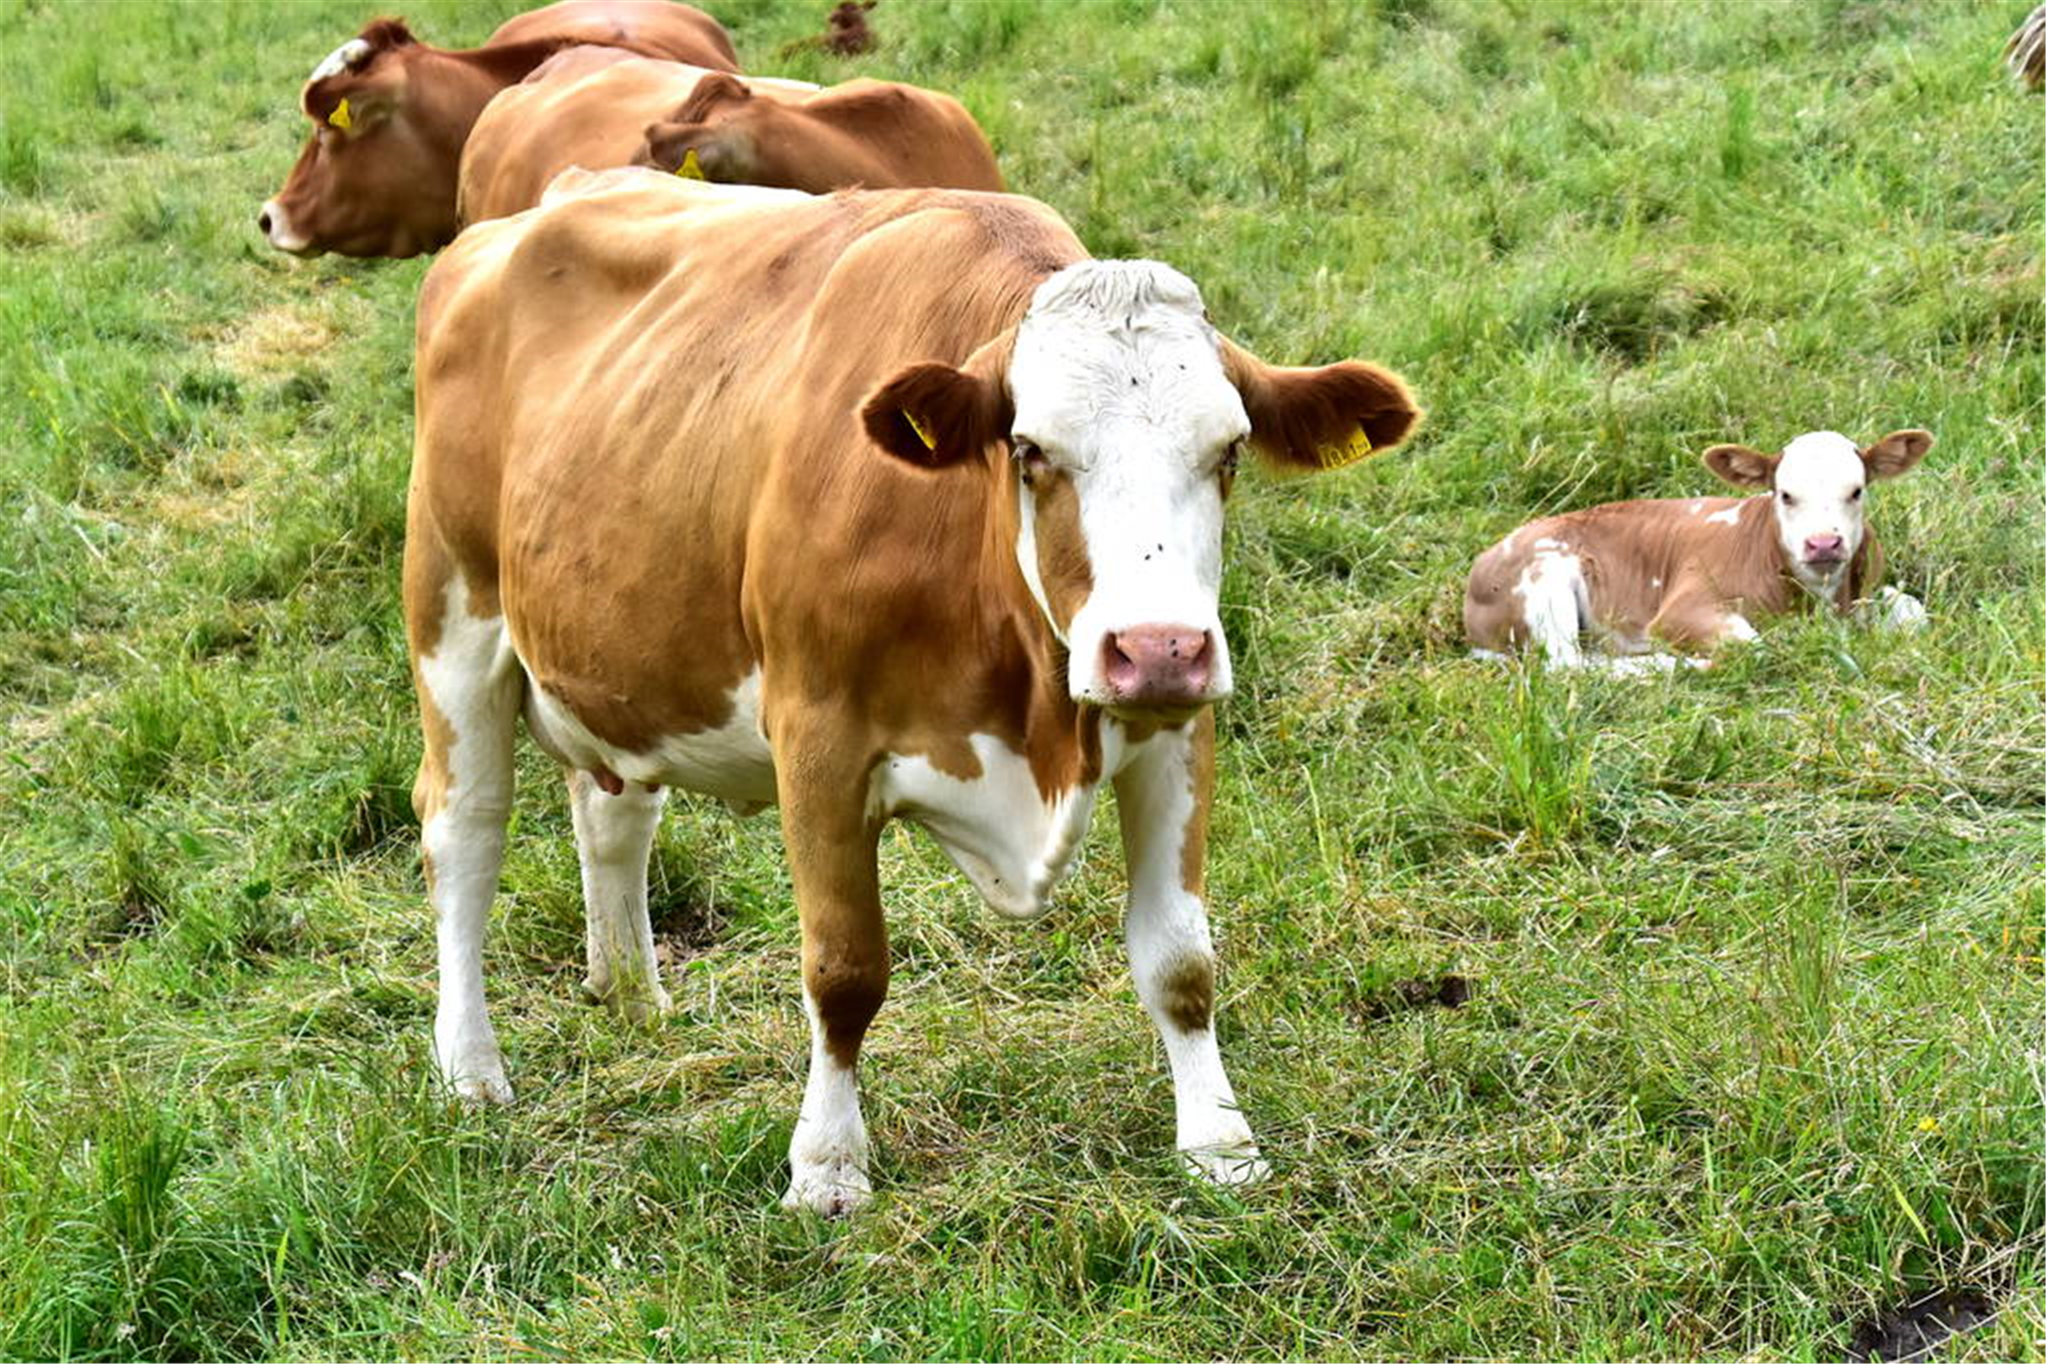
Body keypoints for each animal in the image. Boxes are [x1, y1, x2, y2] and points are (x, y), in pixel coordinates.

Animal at [405, 173, 1415, 1218]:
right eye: (1030, 450)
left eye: (1229, 451)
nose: (1158, 649)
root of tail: (539, 205)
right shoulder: (817, 738)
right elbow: (844, 968)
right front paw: (827, 1165)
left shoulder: (1178, 735)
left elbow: (1180, 958)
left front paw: (1220, 1144)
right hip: (453, 613)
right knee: (464, 832)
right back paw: (470, 1068)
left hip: (618, 656)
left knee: (613, 813)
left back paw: (635, 998)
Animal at [1464, 421, 1923, 666]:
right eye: (1785, 494)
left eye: (1857, 491)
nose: (1823, 544)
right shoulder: (1682, 608)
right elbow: (1753, 645)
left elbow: (1913, 611)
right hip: (1542, 583)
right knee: (1567, 665)